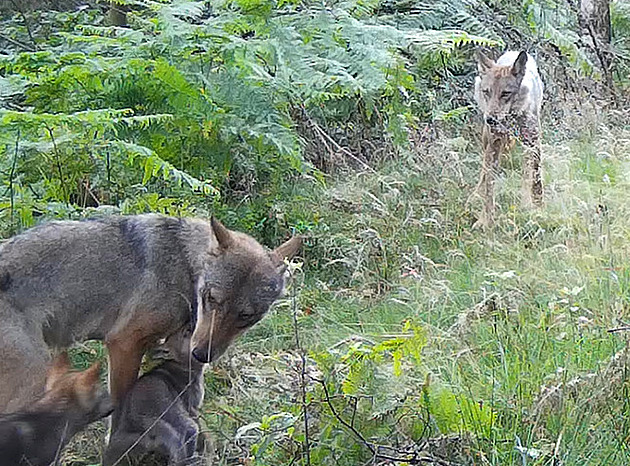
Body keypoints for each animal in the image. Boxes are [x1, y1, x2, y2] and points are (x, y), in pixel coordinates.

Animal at [0, 216, 304, 422]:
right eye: (212, 299)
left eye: (246, 317)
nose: (202, 354)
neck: (185, 266)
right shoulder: (124, 343)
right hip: (33, 380)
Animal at [103, 326, 207, 466]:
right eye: (186, 333)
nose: (191, 323)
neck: (182, 366)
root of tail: (146, 427)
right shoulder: (192, 407)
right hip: (176, 415)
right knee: (189, 432)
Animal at [476, 49, 544, 228]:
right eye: (487, 92)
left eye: (505, 93)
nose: (490, 120)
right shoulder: (493, 146)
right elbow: (489, 186)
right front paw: (485, 220)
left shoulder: (534, 144)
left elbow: (536, 181)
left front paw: (538, 209)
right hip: (487, 142)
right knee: (483, 173)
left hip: (525, 149)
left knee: (526, 172)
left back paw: (525, 200)